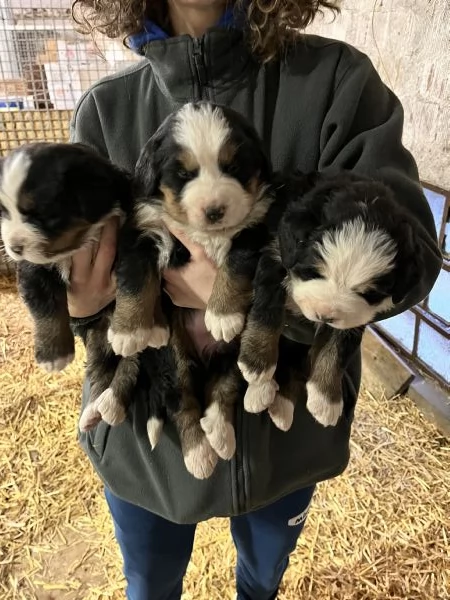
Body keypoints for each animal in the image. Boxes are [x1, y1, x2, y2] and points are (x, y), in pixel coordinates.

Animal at [0, 143, 140, 428]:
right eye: (5, 212)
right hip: (96, 337)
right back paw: (95, 410)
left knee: (130, 363)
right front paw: (54, 355)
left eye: (41, 215)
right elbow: (47, 311)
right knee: (100, 368)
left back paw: (112, 404)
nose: (14, 247)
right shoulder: (34, 269)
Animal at [104, 102, 274, 478]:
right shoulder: (143, 232)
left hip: (232, 351)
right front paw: (127, 331)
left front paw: (222, 313)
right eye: (183, 174)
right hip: (174, 353)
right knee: (182, 400)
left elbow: (235, 264)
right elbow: (136, 283)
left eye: (233, 167)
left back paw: (220, 434)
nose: (214, 211)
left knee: (225, 388)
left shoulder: (254, 230)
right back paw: (199, 453)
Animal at [237, 171, 424, 428]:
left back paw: (280, 407)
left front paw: (326, 399)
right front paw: (257, 362)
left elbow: (337, 349)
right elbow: (266, 313)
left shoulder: (356, 316)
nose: (324, 315)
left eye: (370, 294)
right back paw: (259, 391)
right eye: (312, 272)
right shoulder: (275, 252)